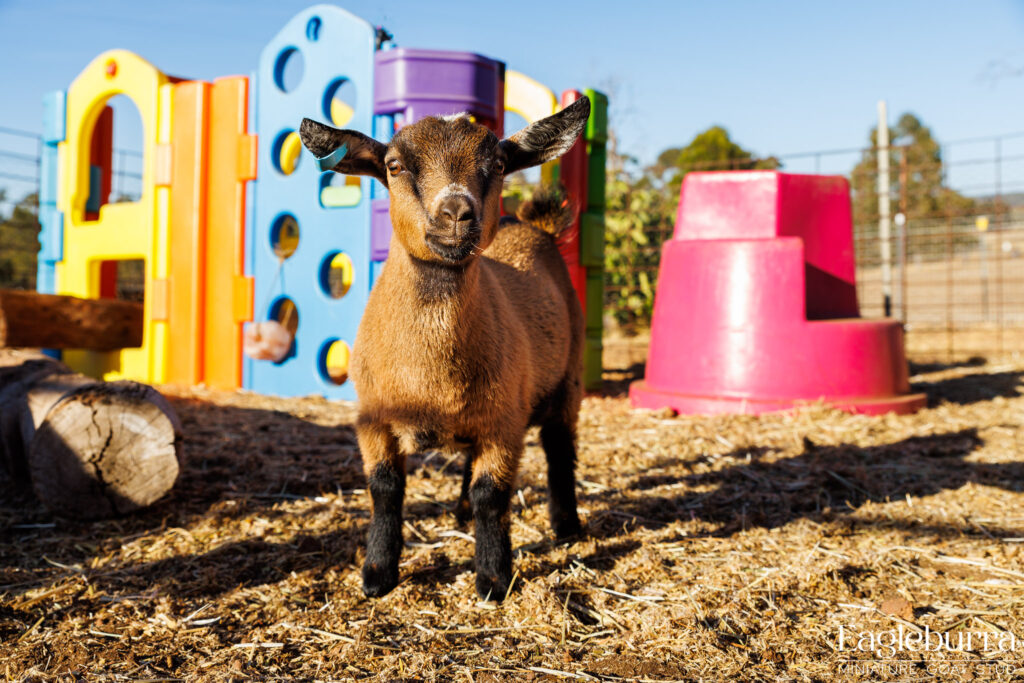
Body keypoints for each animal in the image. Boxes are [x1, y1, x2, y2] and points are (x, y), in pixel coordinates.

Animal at [299, 96, 590, 601]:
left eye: (498, 163)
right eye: (394, 165)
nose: (456, 212)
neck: (428, 379)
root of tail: (534, 227)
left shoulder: (505, 421)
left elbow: (492, 496)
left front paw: (493, 578)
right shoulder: (371, 418)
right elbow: (384, 489)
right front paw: (377, 574)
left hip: (567, 380)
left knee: (559, 448)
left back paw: (567, 525)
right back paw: (460, 512)